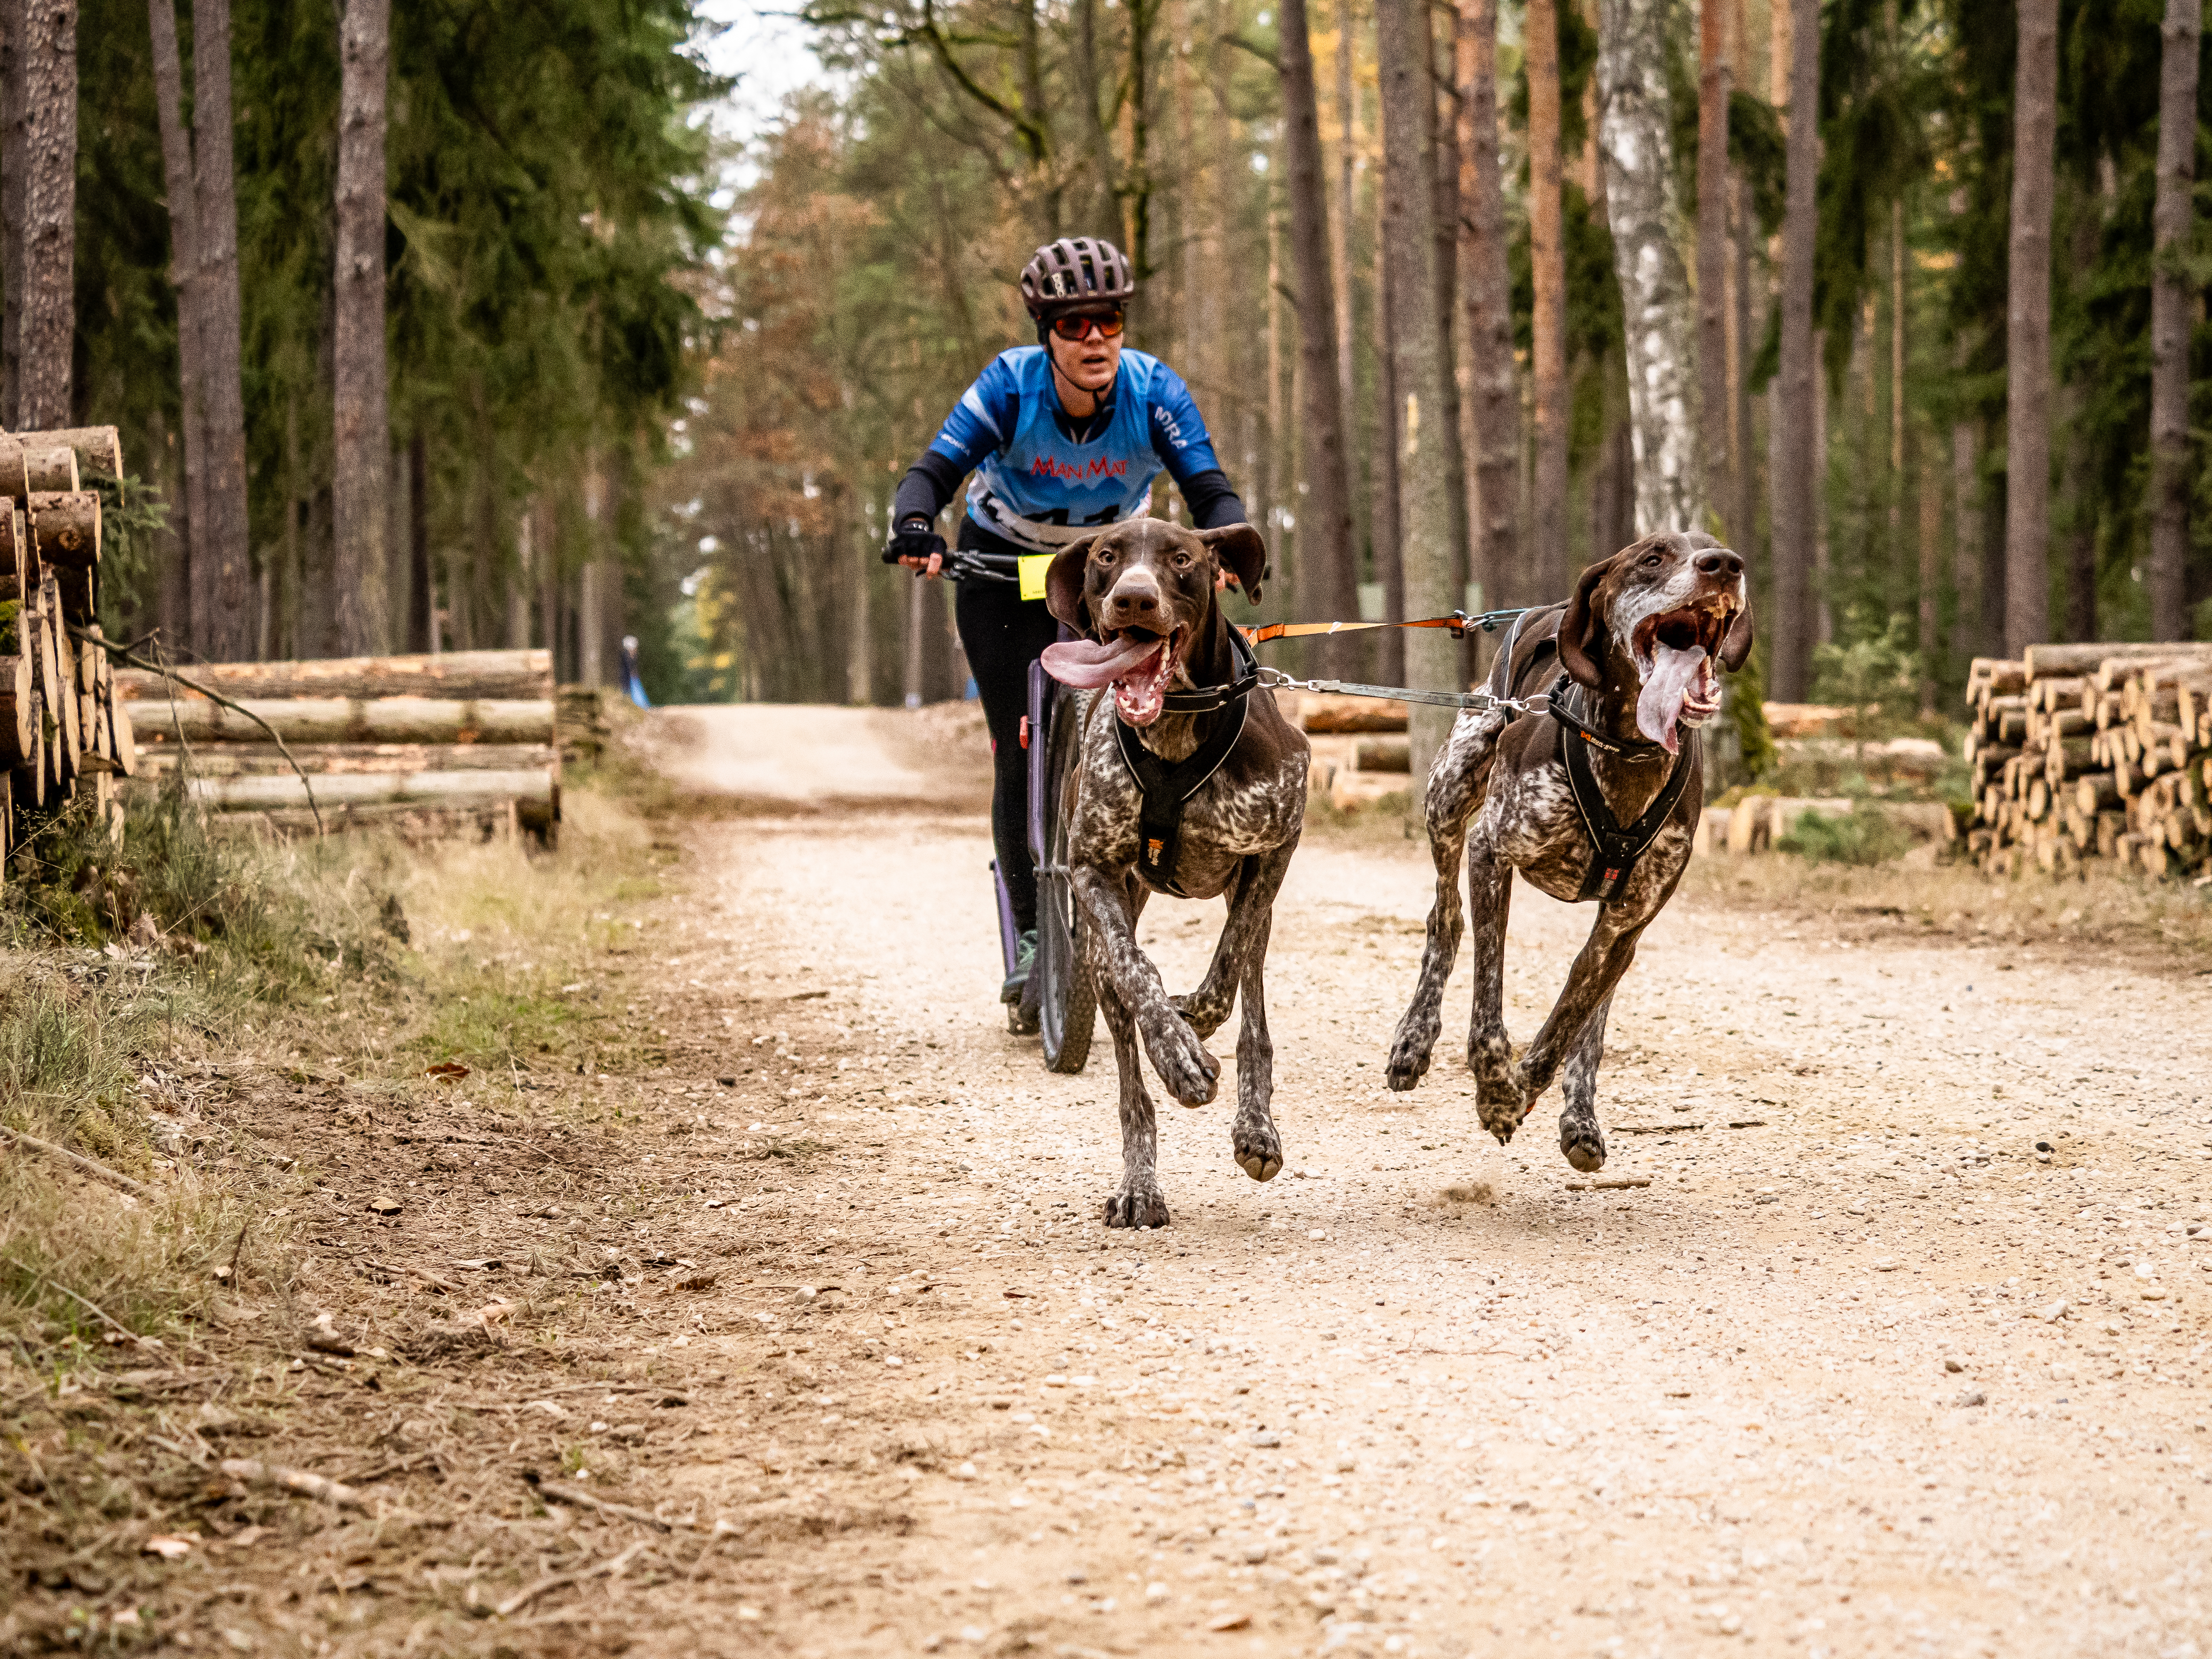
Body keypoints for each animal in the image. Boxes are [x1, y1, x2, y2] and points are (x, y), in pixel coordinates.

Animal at [1039, 522, 1309, 1239]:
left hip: (1257, 903)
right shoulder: (1092, 872)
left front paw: (1196, 1026)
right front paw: (1178, 1053)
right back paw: (1140, 1184)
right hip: (1098, 948)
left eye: (1183, 559)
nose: (1134, 599)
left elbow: (1224, 981)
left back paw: (1255, 1128)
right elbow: (1139, 974)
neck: (1174, 729)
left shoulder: (1278, 844)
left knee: (1251, 1007)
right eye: (1107, 556)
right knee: (1131, 1075)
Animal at [1389, 533, 1752, 1168]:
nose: (1726, 566)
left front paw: (1520, 1091)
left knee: (1594, 1016)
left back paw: (1579, 1115)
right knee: (1446, 917)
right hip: (1450, 793)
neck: (1628, 752)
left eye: (1717, 548)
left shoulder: (1626, 921)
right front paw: (1497, 1088)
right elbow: (1488, 1005)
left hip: (1621, 932)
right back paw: (1414, 1039)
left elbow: (1572, 1017)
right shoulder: (1491, 851)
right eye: (1652, 557)